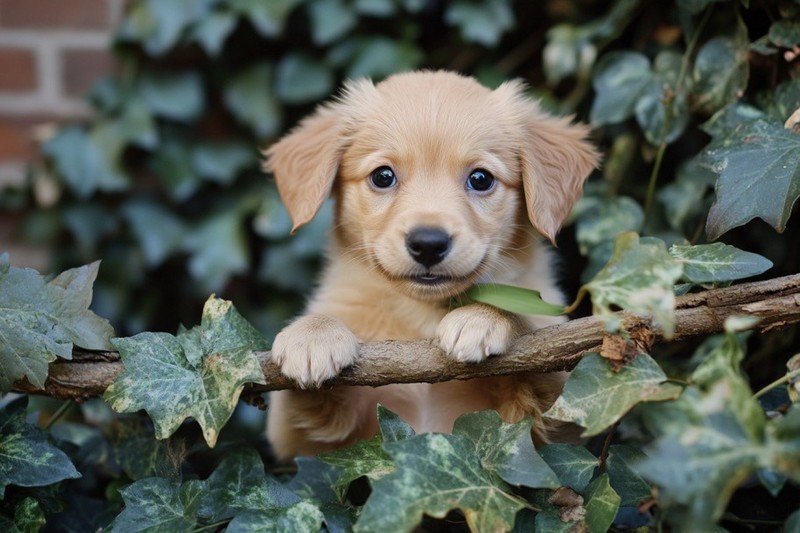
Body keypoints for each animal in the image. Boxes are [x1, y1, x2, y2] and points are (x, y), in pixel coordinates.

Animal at [266, 70, 596, 460]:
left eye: (480, 179)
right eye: (382, 176)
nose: (428, 244)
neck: (423, 312)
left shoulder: (564, 420)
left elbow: (538, 342)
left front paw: (483, 317)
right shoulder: (300, 445)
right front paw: (312, 337)